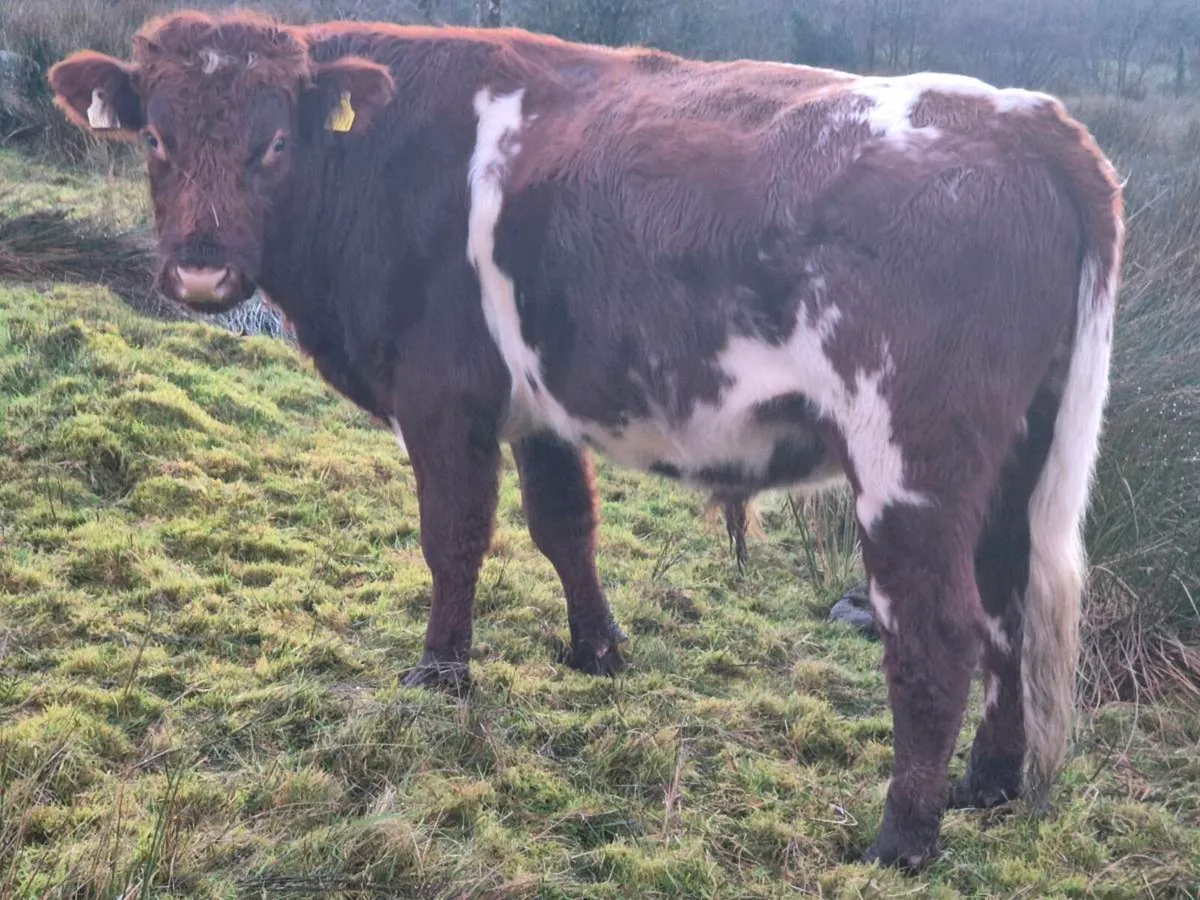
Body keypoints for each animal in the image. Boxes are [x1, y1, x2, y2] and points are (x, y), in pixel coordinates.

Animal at [48, 11, 1124, 868]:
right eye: (154, 136)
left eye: (274, 144)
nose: (201, 270)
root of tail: (1029, 119)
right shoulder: (538, 407)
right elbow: (563, 525)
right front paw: (598, 650)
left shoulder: (442, 394)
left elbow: (455, 537)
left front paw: (439, 675)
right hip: (1015, 459)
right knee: (1010, 607)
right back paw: (988, 785)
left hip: (912, 455)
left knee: (939, 630)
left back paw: (903, 837)